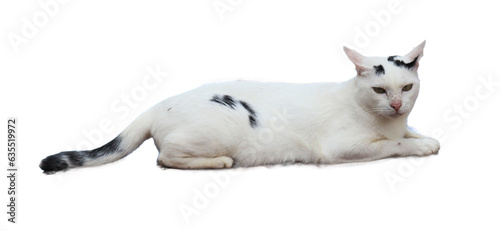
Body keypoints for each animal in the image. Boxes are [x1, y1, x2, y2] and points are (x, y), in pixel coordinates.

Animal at [38, 41, 438, 173]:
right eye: (378, 89)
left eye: (406, 87)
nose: (397, 104)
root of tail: (162, 102)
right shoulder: (340, 148)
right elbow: (393, 144)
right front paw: (421, 146)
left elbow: (408, 132)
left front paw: (422, 135)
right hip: (214, 135)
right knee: (165, 157)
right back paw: (219, 162)